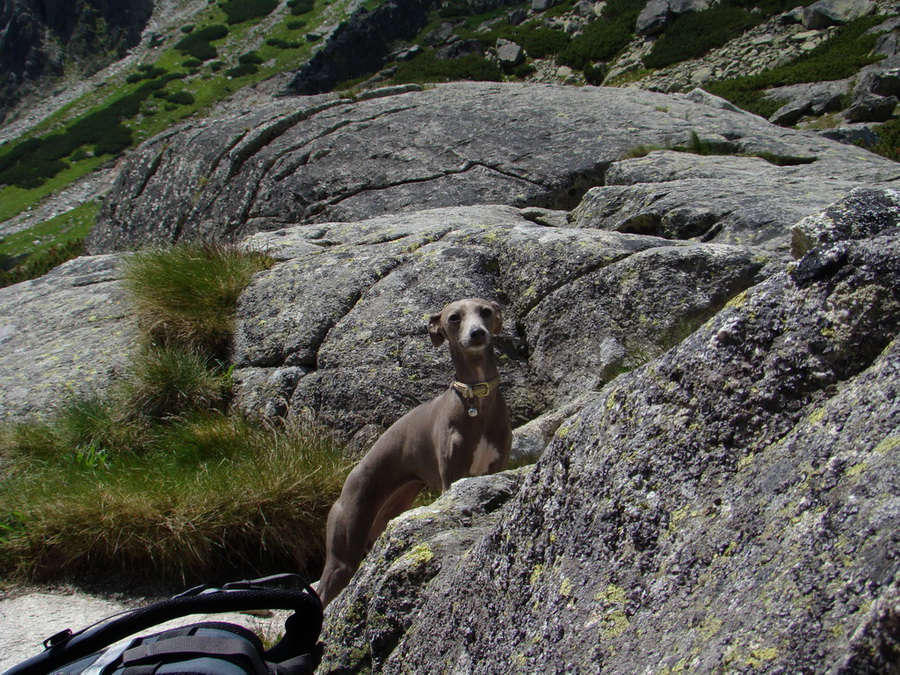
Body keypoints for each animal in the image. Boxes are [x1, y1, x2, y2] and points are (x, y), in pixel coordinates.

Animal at [318, 300, 512, 608]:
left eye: (486, 311)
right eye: (454, 317)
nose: (477, 334)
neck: (476, 399)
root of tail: (351, 477)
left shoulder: (497, 468)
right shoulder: (451, 478)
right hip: (344, 551)